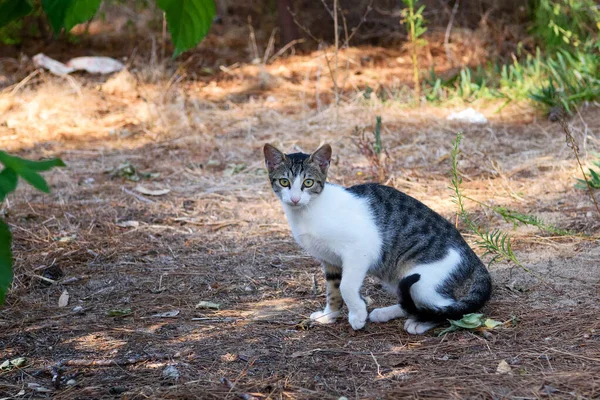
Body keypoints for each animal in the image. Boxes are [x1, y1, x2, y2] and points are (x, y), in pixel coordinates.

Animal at [262, 143, 492, 334]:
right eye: (284, 182)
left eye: (308, 182)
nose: (295, 199)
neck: (307, 212)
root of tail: (469, 252)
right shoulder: (329, 260)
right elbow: (333, 290)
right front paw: (329, 315)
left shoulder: (359, 250)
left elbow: (346, 286)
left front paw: (357, 315)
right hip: (400, 276)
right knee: (413, 302)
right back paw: (387, 313)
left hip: (422, 278)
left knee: (447, 307)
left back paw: (421, 322)